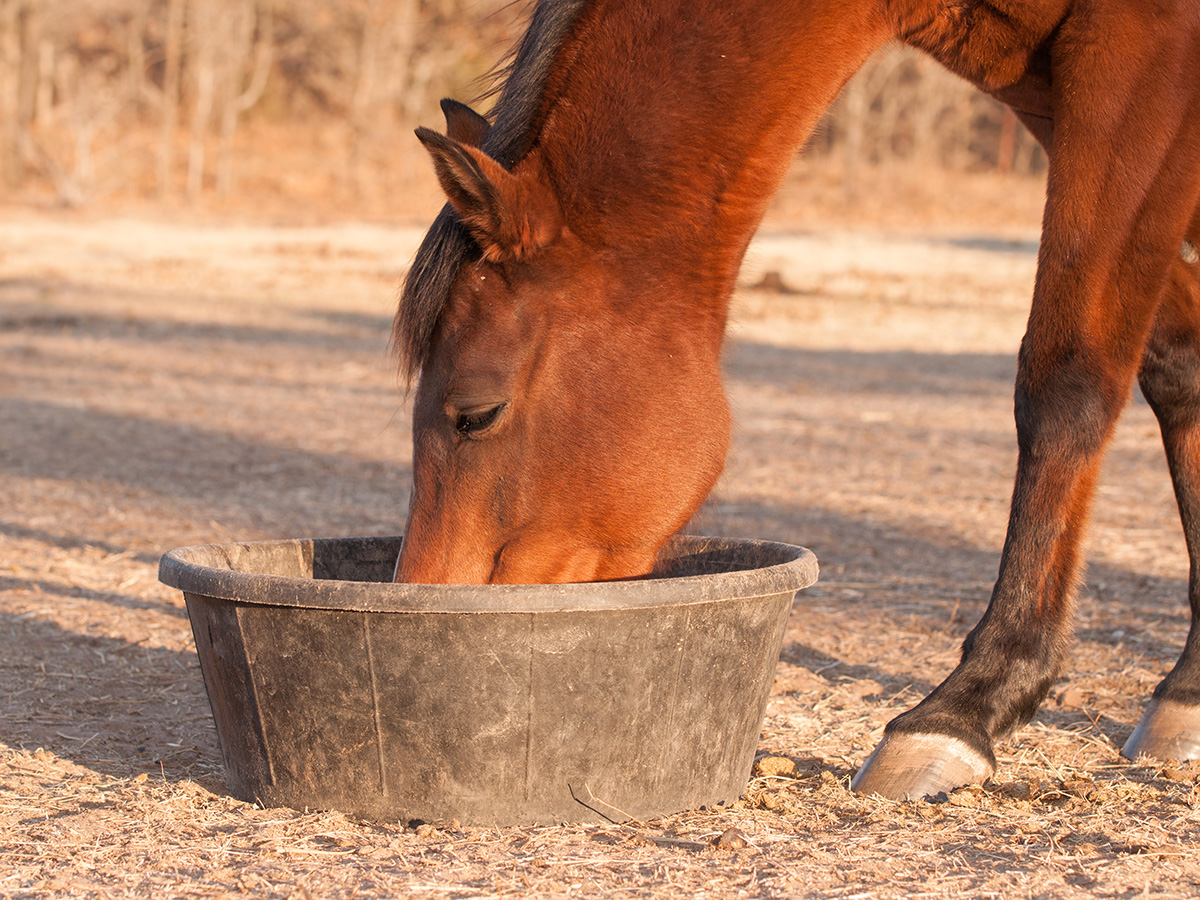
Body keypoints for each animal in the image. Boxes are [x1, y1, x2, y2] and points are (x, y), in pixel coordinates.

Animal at [391, 0, 1200, 801]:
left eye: (475, 414)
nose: (428, 601)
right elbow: (1179, 370)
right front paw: (1186, 692)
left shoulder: (1140, 59)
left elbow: (1066, 383)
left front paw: (968, 704)